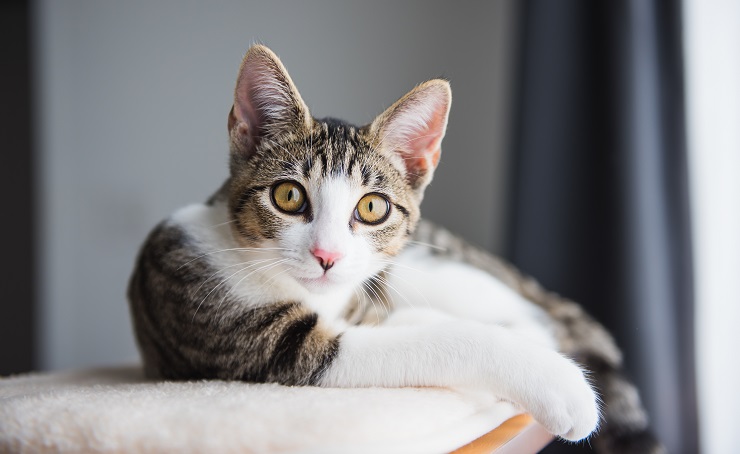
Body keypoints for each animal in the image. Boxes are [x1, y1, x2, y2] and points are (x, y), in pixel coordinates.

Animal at [125, 44, 660, 452]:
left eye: (372, 208)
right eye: (288, 196)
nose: (327, 257)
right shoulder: (243, 331)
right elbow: (432, 337)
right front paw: (561, 384)